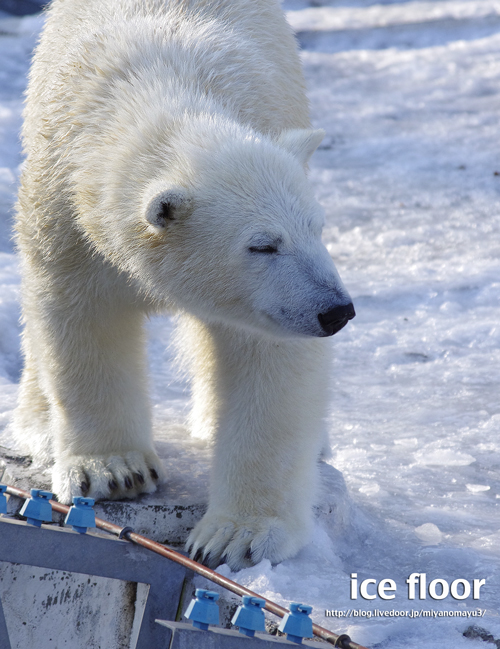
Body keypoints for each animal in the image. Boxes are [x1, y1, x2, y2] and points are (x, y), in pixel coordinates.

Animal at [12, 0, 356, 568]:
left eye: (317, 227)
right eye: (263, 244)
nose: (336, 310)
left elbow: (269, 363)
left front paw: (235, 535)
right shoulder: (66, 217)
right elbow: (81, 320)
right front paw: (114, 470)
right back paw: (38, 427)